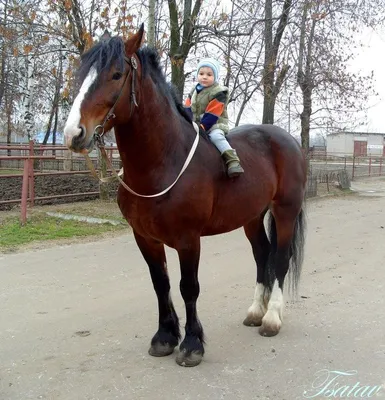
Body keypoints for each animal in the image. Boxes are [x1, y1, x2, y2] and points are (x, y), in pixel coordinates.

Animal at [63, 25, 306, 368]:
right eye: (82, 73)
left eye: (116, 74)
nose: (73, 134)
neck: (165, 160)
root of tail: (287, 139)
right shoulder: (145, 238)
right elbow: (160, 284)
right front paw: (164, 337)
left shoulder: (188, 239)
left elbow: (188, 287)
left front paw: (191, 345)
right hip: (252, 216)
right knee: (262, 255)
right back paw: (255, 312)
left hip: (285, 212)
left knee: (281, 258)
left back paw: (271, 319)